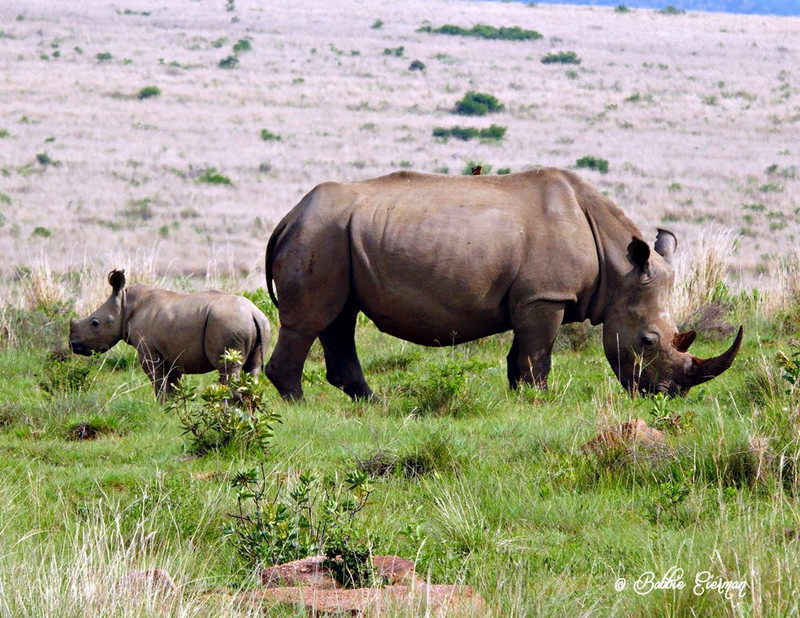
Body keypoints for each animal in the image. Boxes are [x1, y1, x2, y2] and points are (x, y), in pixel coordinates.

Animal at [69, 270, 268, 400]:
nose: (73, 344)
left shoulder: (148, 350)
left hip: (230, 323)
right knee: (253, 369)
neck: (124, 305)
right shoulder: (172, 353)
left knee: (228, 370)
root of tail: (253, 312)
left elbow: (157, 379)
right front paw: (172, 405)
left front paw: (160, 404)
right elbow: (172, 382)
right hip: (259, 325)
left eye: (95, 323)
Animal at [264, 168, 744, 400]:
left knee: (339, 318)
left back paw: (371, 403)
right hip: (320, 233)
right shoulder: (546, 295)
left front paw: (518, 397)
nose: (669, 395)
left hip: (334, 234)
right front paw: (539, 401)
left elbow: (521, 355)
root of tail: (288, 217)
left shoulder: (532, 297)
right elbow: (538, 355)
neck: (618, 266)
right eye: (647, 341)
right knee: (312, 320)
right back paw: (298, 404)